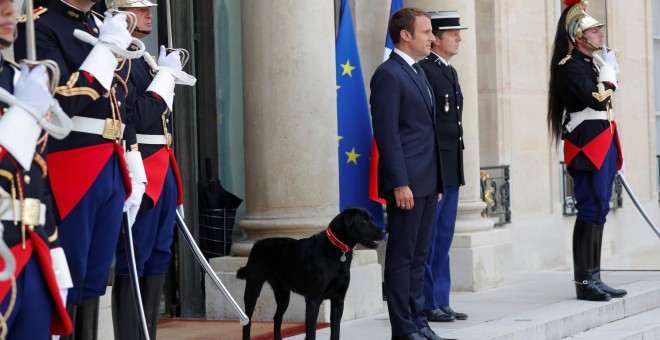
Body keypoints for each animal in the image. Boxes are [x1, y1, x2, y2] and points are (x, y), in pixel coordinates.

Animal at [237, 207, 384, 340]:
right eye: (364, 221)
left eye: (371, 219)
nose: (384, 232)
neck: (337, 250)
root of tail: (257, 243)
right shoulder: (314, 299)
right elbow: (311, 333)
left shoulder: (338, 299)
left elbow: (335, 331)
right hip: (252, 288)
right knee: (247, 321)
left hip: (283, 294)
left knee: (277, 318)